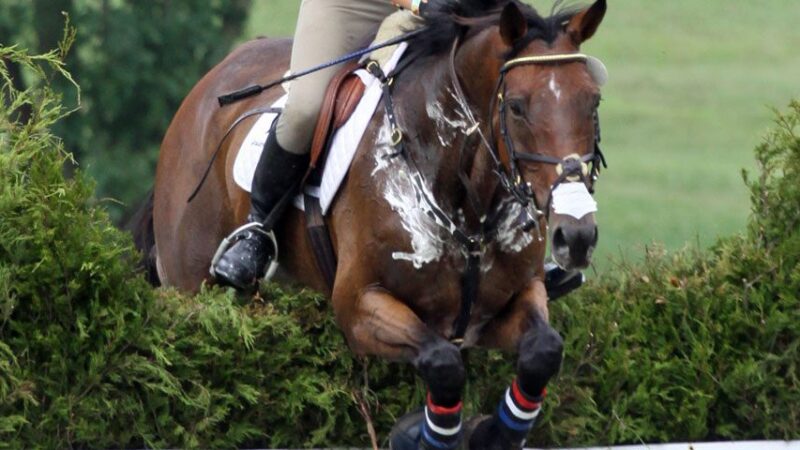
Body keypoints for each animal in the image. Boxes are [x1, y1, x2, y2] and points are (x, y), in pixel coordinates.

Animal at [136, 0, 606, 446]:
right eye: (518, 107)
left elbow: (543, 350)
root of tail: (206, 88)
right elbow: (443, 362)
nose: (576, 237)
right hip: (191, 281)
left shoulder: (505, 305)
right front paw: (425, 436)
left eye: (593, 101)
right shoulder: (361, 305)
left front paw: (495, 434)